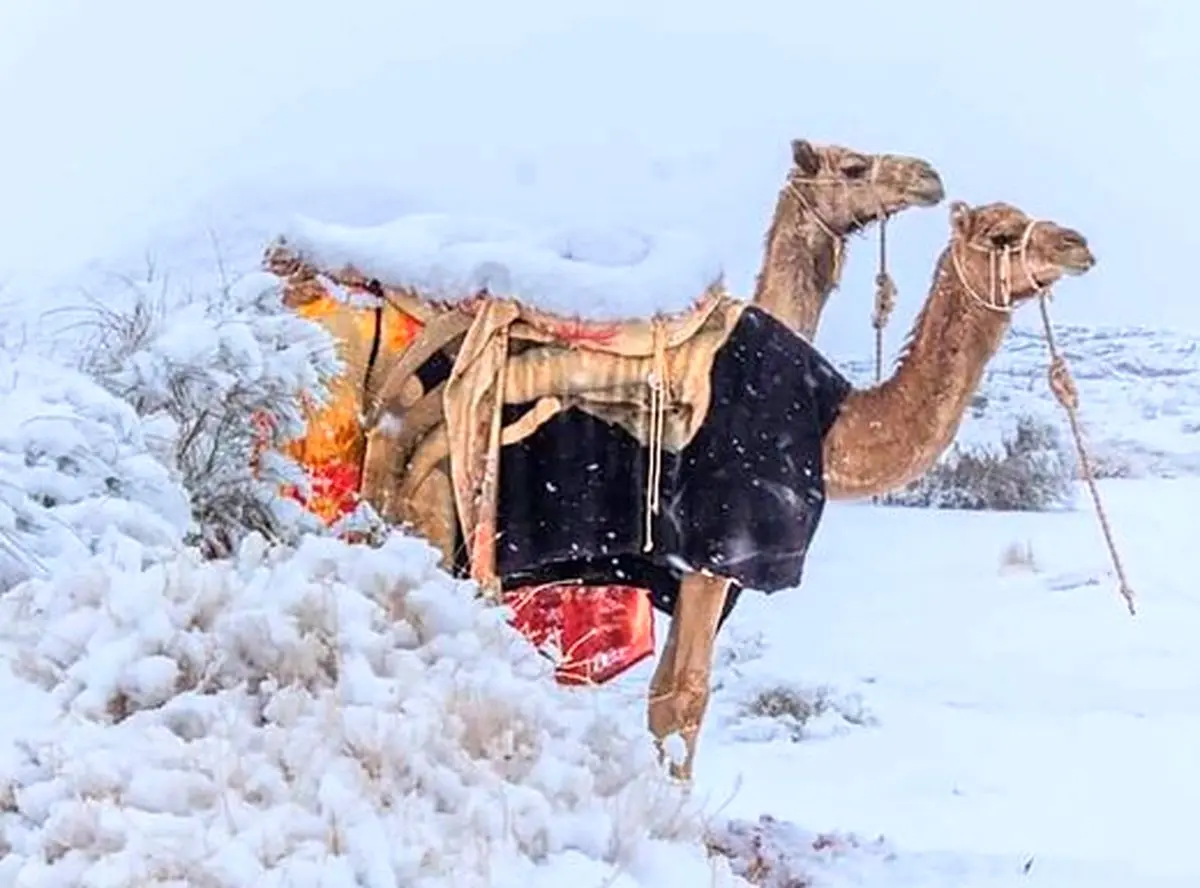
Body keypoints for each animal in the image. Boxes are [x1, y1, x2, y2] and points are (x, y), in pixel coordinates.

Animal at [648, 199, 1099, 777]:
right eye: (1001, 234)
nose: (1076, 244)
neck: (827, 423)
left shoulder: (690, 565)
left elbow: (662, 696)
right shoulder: (717, 547)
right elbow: (683, 701)